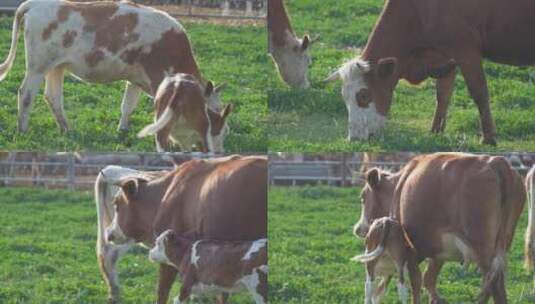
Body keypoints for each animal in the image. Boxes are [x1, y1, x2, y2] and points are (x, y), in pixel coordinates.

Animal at [0, 0, 223, 133]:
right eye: (213, 111)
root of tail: (35, 3)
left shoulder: (136, 80)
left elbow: (127, 106)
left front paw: (122, 130)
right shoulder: (157, 77)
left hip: (56, 67)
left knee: (52, 97)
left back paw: (67, 129)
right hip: (38, 66)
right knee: (26, 93)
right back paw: (22, 129)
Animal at [324, 0, 535, 145]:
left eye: (364, 95)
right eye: (344, 98)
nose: (354, 139)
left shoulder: (466, 51)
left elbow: (479, 93)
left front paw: (489, 138)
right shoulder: (446, 57)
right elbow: (443, 95)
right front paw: (435, 132)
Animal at [354, 153, 524, 302]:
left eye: (363, 197)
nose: (357, 229)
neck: (399, 186)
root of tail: (497, 162)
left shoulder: (411, 251)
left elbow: (416, 282)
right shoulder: (438, 251)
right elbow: (429, 279)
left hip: (483, 251)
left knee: (494, 286)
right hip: (502, 246)